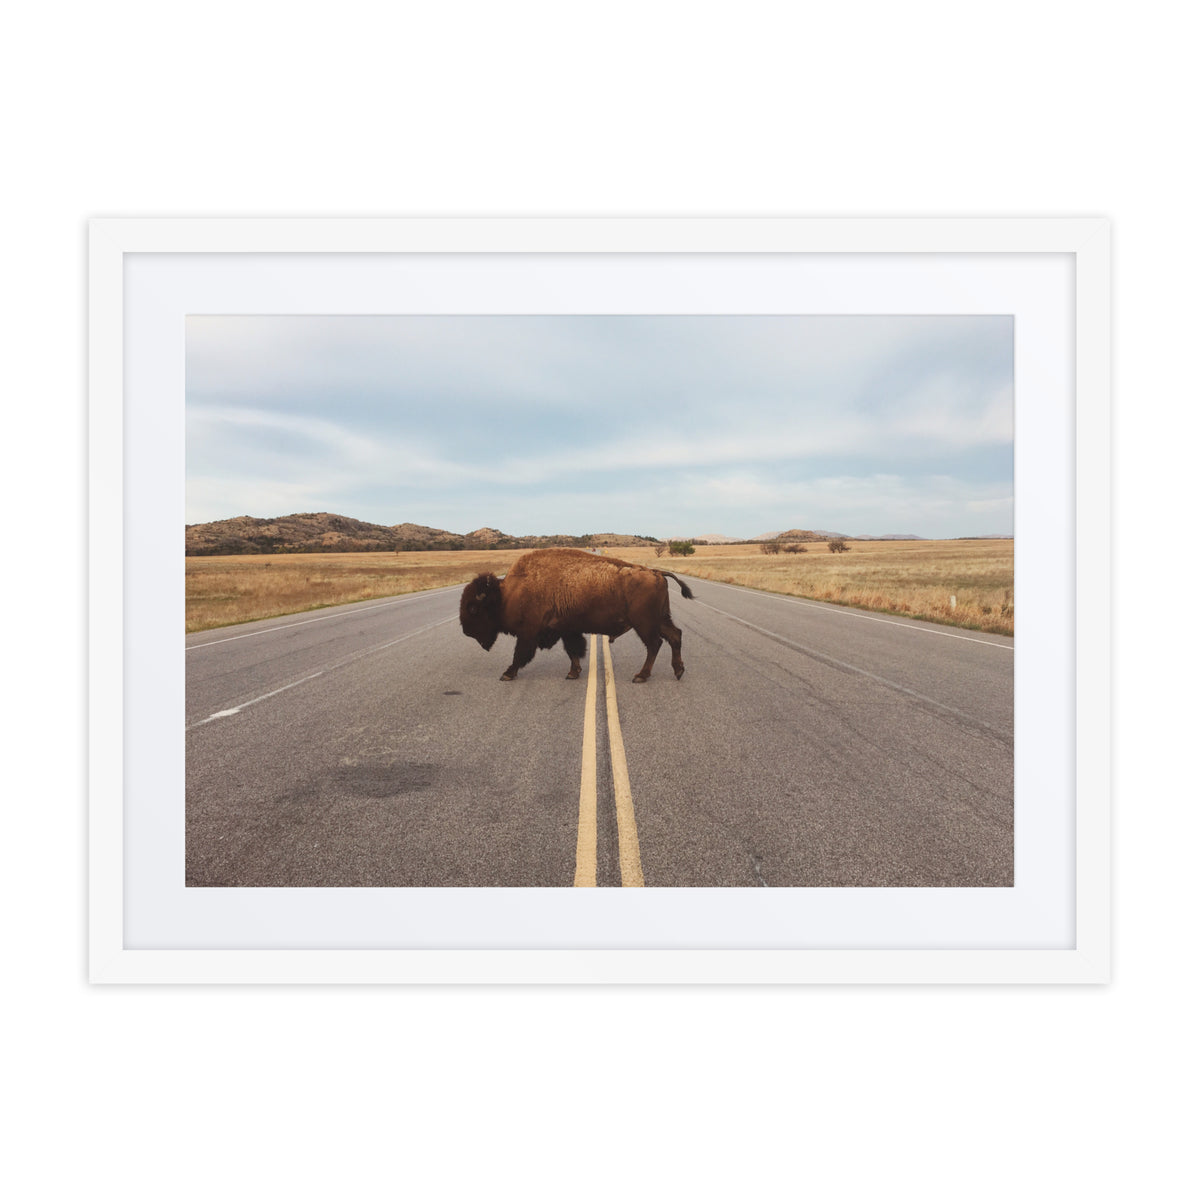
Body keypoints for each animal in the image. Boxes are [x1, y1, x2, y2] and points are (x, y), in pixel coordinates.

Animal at [459, 547, 694, 682]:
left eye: (473, 608)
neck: (507, 593)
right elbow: (572, 651)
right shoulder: (566, 630)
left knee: (655, 644)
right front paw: (573, 673)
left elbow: (520, 655)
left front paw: (507, 674)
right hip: (660, 619)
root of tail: (656, 572)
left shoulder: (529, 633)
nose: (466, 631)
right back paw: (678, 671)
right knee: (675, 636)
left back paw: (641, 676)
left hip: (644, 624)